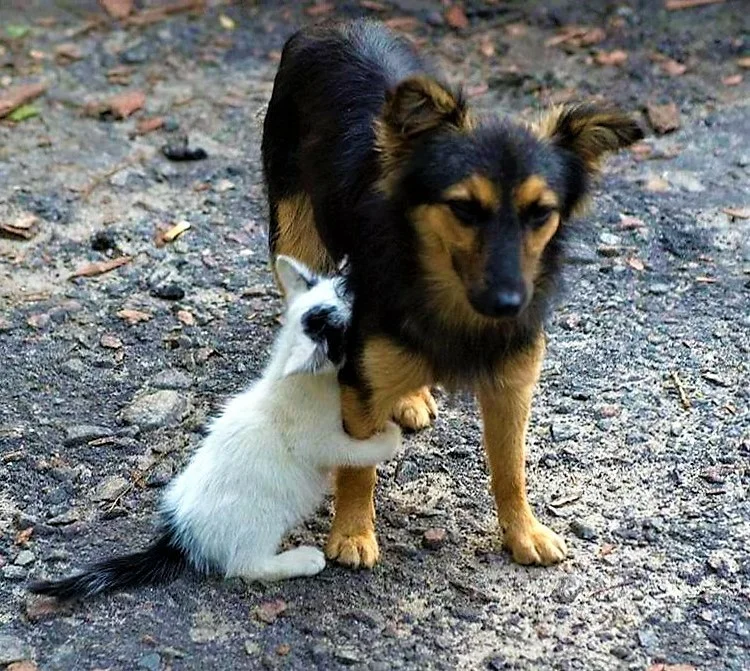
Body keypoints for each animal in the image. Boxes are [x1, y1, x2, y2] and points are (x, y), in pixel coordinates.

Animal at [29, 255, 401, 599]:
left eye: (345, 288)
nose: (366, 283)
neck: (297, 382)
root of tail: (183, 536)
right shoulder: (318, 440)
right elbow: (352, 451)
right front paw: (391, 437)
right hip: (261, 518)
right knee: (246, 566)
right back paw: (302, 559)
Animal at [261, 19, 643, 568]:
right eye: (463, 208)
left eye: (540, 213)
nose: (509, 305)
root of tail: (333, 23)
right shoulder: (359, 377)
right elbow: (357, 466)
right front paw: (353, 532)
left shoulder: (513, 381)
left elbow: (511, 466)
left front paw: (522, 531)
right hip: (294, 233)